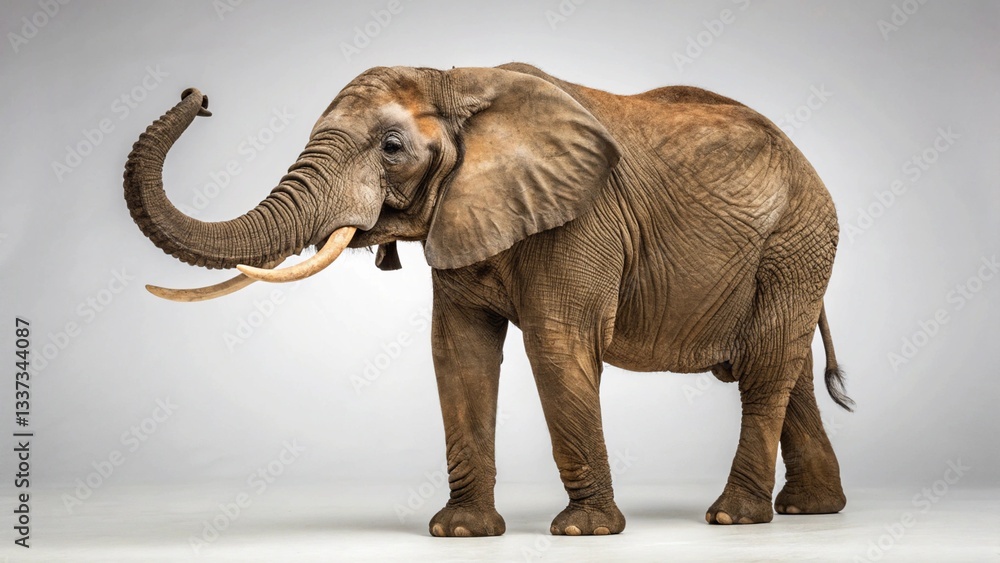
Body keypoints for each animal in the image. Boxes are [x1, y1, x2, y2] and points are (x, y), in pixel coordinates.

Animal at [123, 63, 853, 537]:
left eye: (392, 148)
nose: (199, 95)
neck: (457, 81)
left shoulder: (580, 218)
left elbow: (556, 346)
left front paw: (584, 532)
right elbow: (458, 352)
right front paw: (461, 532)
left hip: (795, 242)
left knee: (763, 369)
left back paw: (733, 517)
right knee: (782, 373)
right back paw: (811, 511)